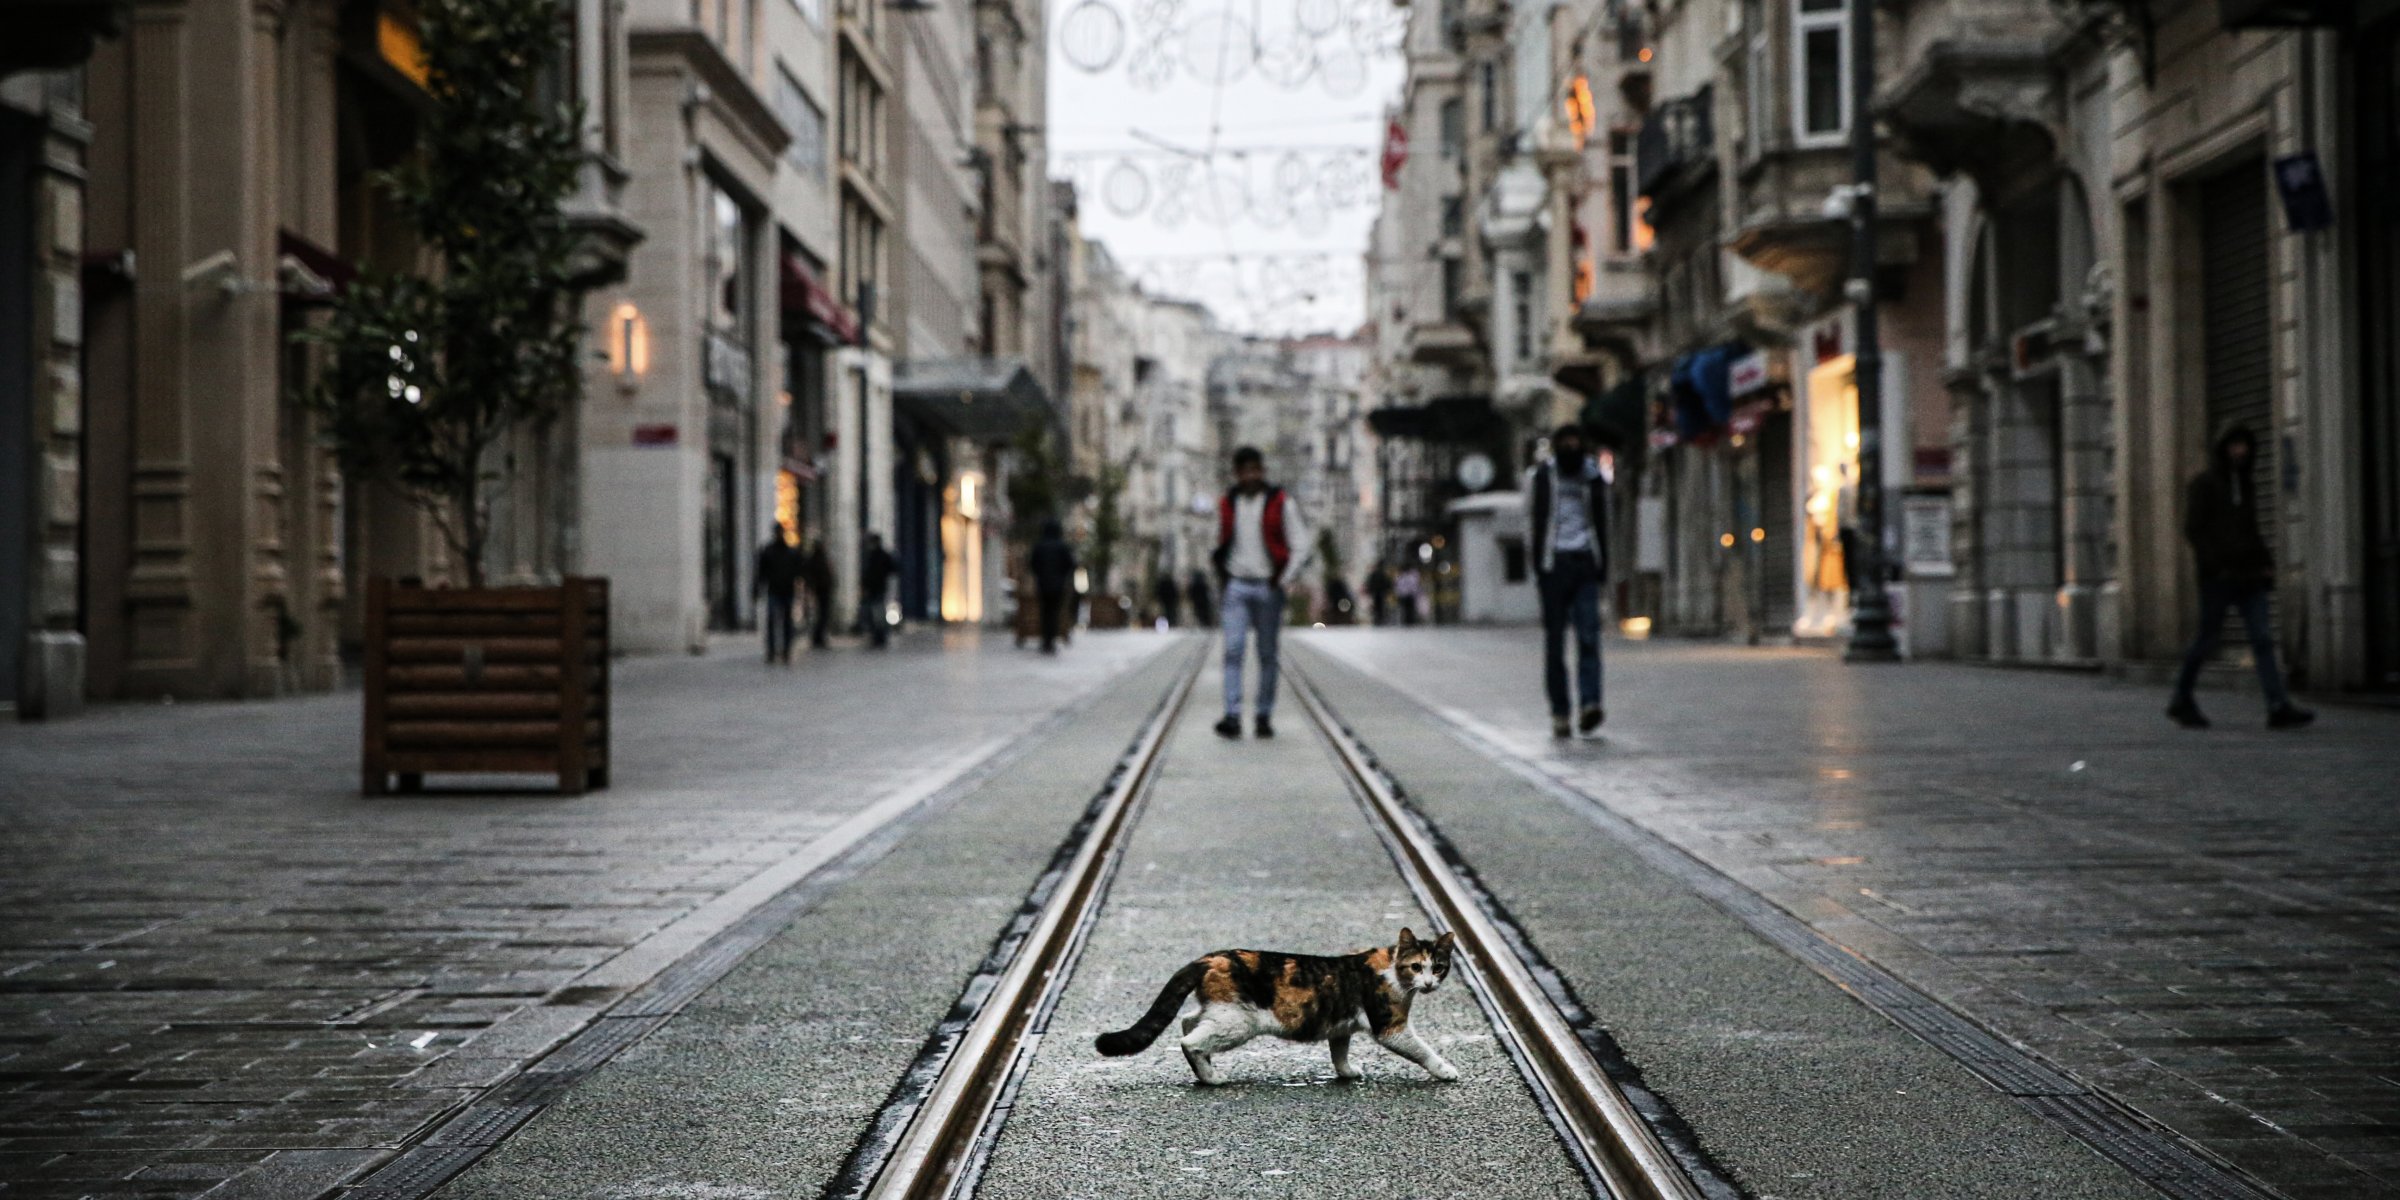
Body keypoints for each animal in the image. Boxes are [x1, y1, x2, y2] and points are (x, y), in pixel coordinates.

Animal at [1094, 926, 1459, 1089]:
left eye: (1439, 967)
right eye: (1416, 967)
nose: (1429, 983)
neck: (1393, 969)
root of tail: (1209, 958)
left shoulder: (1340, 1025)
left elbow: (1339, 1052)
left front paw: (1346, 1072)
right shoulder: (1391, 1026)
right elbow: (1422, 1049)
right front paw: (1445, 1070)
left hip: (1222, 1013)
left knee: (1188, 1020)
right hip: (1238, 1021)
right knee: (1189, 1040)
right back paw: (1211, 1077)